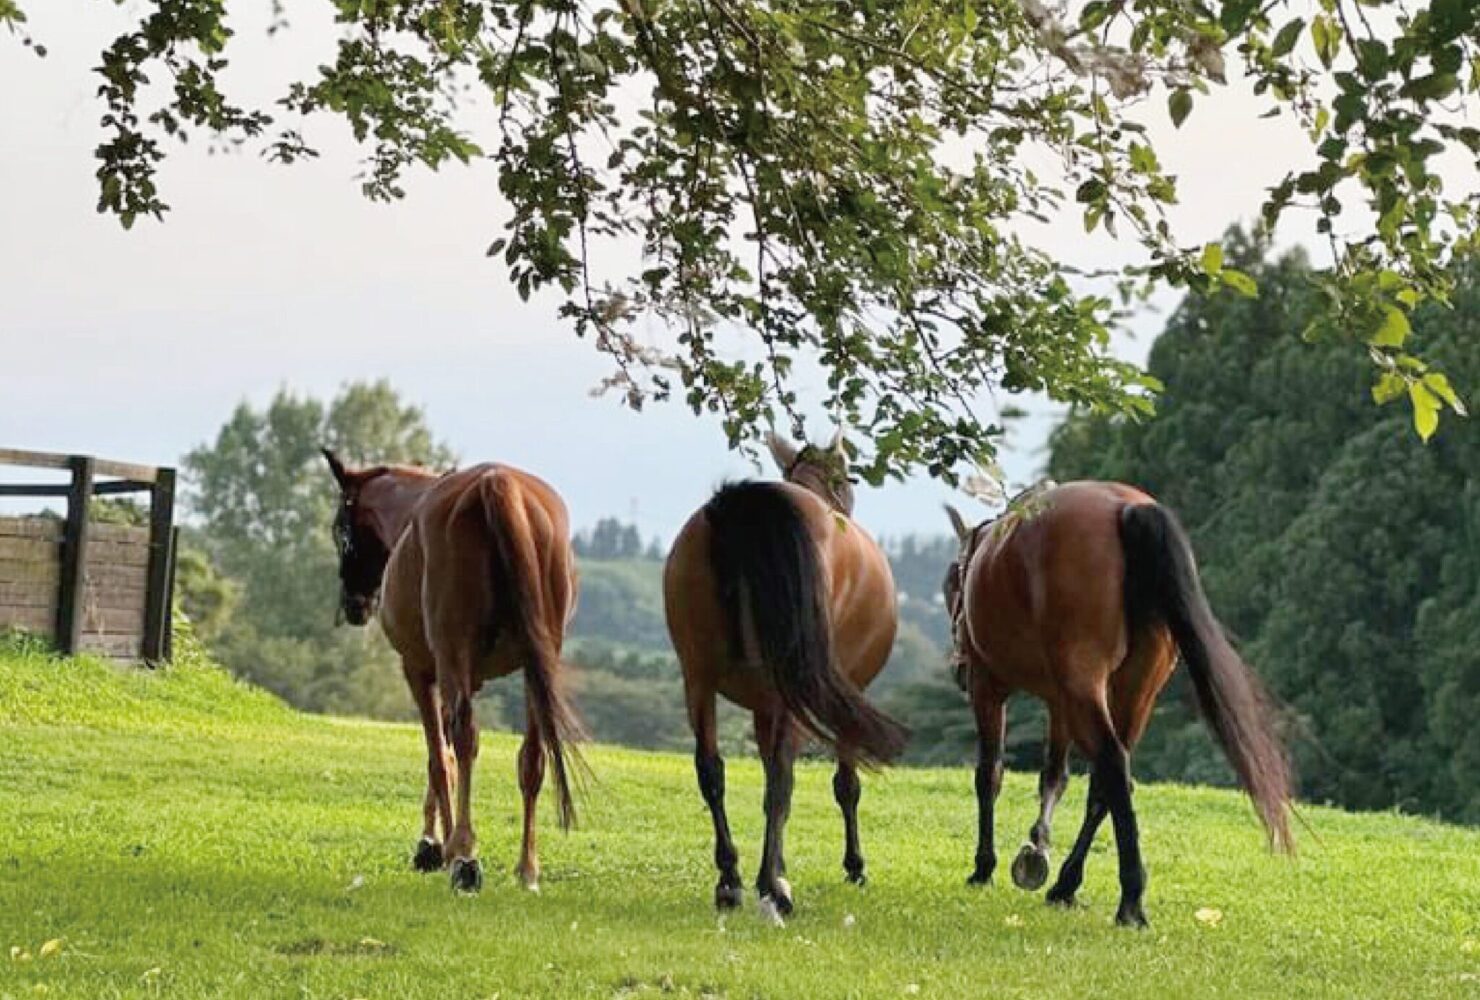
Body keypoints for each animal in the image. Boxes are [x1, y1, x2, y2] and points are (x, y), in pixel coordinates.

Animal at [322, 450, 584, 894]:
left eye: (340, 529)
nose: (353, 604)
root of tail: (495, 484)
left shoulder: (420, 670)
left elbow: (439, 756)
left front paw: (435, 844)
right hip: (537, 665)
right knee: (532, 756)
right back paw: (527, 868)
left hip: (452, 653)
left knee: (464, 740)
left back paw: (464, 855)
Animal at [663, 431, 910, 916]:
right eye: (847, 478)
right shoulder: (836, 698)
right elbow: (842, 784)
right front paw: (849, 865)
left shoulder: (761, 706)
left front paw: (777, 867)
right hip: (789, 689)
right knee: (781, 780)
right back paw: (769, 889)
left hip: (698, 679)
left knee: (711, 770)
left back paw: (730, 878)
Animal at [942, 480, 1292, 927]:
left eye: (951, 586)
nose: (958, 667)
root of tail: (1127, 509)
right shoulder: (1059, 700)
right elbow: (1054, 776)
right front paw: (1038, 849)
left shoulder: (989, 687)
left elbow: (989, 774)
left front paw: (984, 866)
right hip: (1136, 685)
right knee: (1110, 777)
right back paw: (1068, 884)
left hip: (1082, 680)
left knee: (1110, 761)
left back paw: (1128, 899)